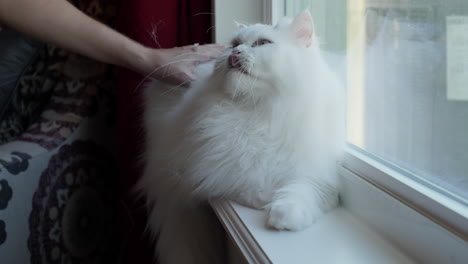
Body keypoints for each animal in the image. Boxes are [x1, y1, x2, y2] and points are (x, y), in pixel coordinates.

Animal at [137, 10, 346, 264]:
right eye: (235, 45)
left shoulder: (318, 172)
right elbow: (245, 180)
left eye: (262, 44)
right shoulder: (220, 162)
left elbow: (302, 190)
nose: (235, 53)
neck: (261, 109)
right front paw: (265, 199)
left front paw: (283, 215)